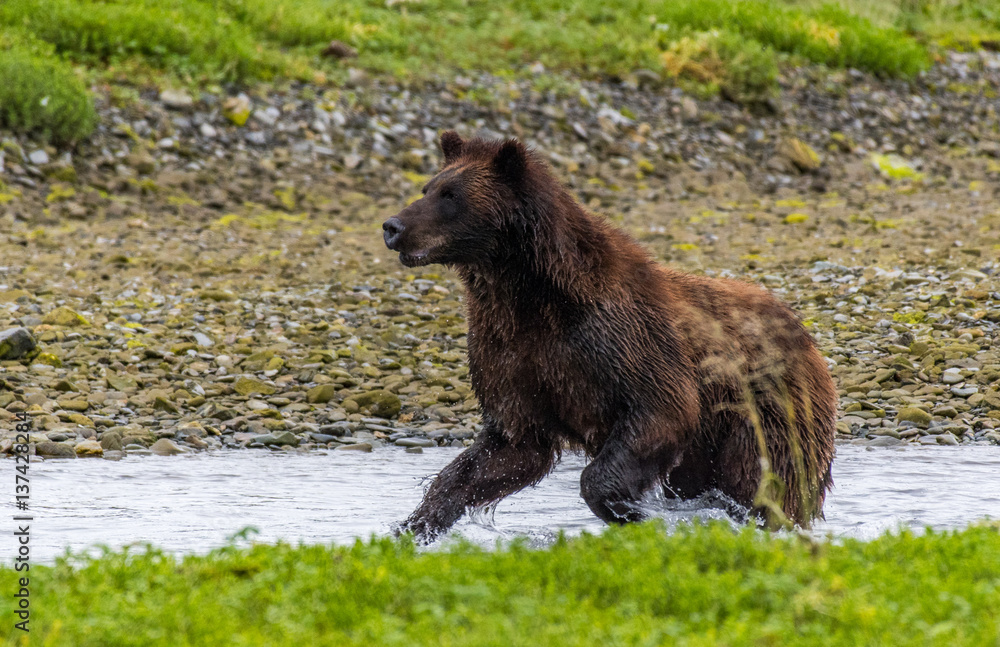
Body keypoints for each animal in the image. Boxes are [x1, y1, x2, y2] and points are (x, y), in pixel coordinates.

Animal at [382, 132, 836, 540]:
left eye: (451, 195)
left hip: (762, 413)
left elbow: (662, 409)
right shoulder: (510, 352)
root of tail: (804, 333)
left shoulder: (620, 340)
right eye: (428, 187)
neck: (527, 291)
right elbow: (507, 447)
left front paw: (632, 512)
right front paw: (414, 525)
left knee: (765, 481)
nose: (392, 226)